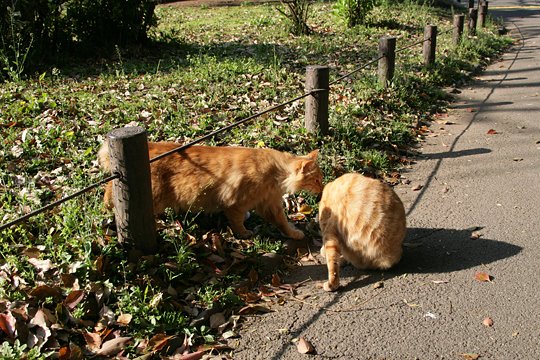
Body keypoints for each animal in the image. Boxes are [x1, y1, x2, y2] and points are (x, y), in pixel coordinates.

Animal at [99, 142, 322, 240]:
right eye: (317, 180)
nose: (321, 190)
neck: (276, 174)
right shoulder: (235, 204)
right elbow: (237, 222)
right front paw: (244, 234)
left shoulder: (270, 205)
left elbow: (283, 222)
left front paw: (294, 234)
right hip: (151, 197)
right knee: (110, 194)